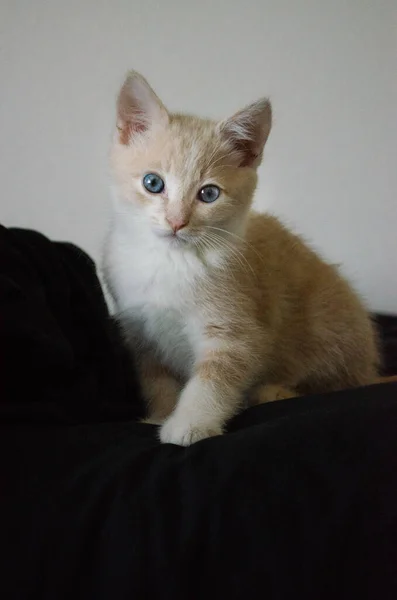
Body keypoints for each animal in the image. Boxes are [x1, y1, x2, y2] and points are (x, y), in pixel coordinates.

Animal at [102, 69, 378, 446]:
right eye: (152, 183)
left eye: (208, 194)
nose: (176, 221)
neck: (170, 262)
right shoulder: (141, 334)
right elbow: (157, 381)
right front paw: (160, 415)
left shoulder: (236, 328)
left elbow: (215, 380)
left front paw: (190, 424)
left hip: (331, 332)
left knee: (336, 384)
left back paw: (273, 392)